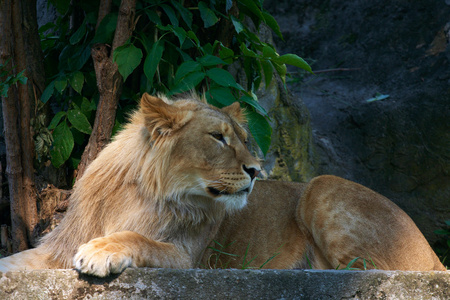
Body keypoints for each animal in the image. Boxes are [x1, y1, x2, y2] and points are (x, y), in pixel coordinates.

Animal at [0, 92, 444, 276]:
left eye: (244, 139)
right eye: (219, 138)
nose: (257, 170)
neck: (142, 194)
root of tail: (433, 255)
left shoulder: (187, 258)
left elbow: (138, 239)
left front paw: (102, 251)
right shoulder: (55, 250)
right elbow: (13, 260)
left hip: (322, 187)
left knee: (374, 272)